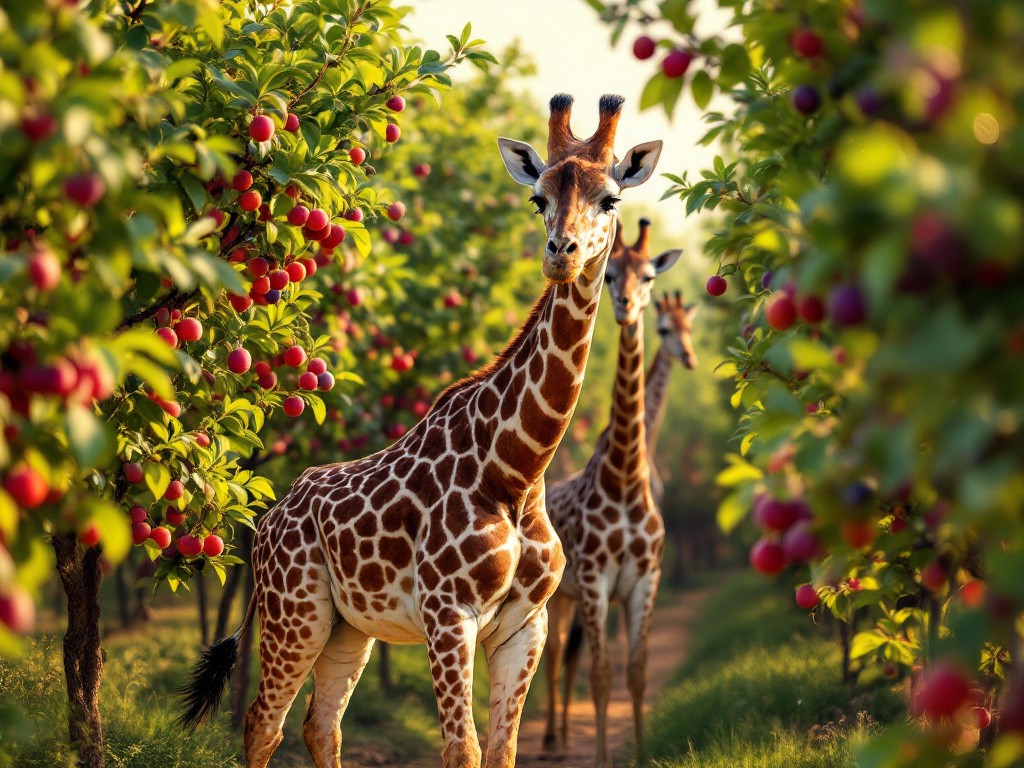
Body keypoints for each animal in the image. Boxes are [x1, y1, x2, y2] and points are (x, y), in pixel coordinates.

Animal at [176, 91, 663, 768]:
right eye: (538, 198)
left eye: (611, 199)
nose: (560, 254)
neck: (518, 469)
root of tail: (265, 522)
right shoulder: (448, 613)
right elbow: (463, 750)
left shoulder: (526, 624)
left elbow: (502, 752)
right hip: (294, 611)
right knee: (262, 724)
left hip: (348, 627)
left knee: (320, 725)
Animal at [540, 215, 684, 765]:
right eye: (611, 275)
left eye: (649, 276)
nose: (625, 307)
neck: (625, 478)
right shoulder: (595, 580)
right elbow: (601, 676)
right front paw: (600, 755)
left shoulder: (645, 579)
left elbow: (635, 674)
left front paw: (641, 753)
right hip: (557, 595)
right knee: (555, 657)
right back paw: (552, 740)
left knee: (566, 659)